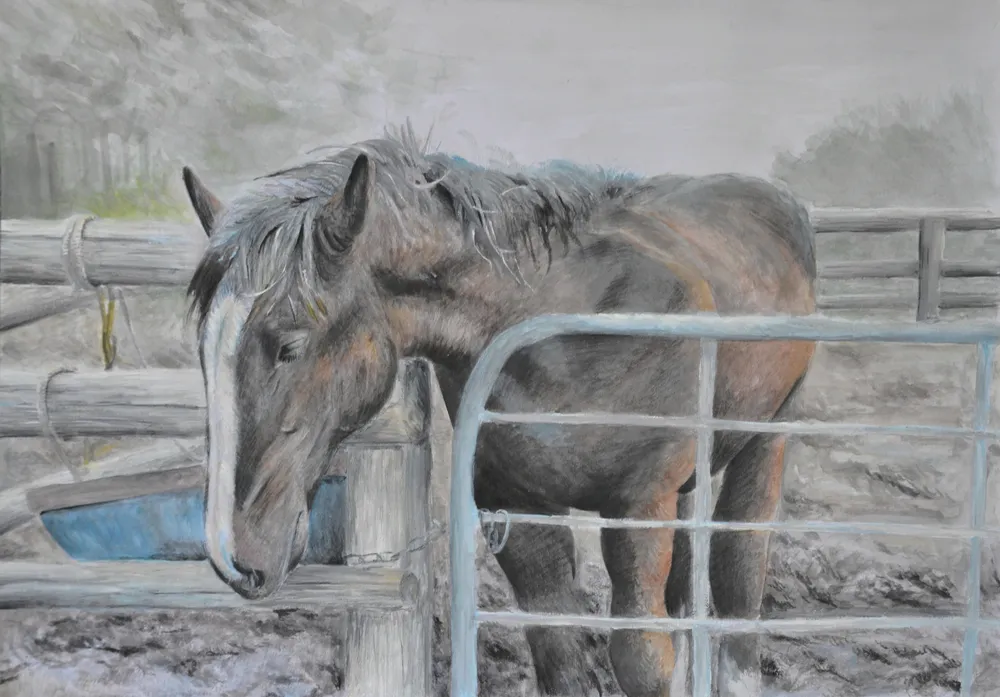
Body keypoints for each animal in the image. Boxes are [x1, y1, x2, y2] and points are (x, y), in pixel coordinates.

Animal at [182, 125, 817, 697]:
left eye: (289, 344)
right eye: (204, 351)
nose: (232, 557)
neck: (556, 328)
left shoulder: (639, 508)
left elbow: (641, 659)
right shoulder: (518, 513)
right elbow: (560, 655)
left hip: (765, 441)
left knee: (739, 573)